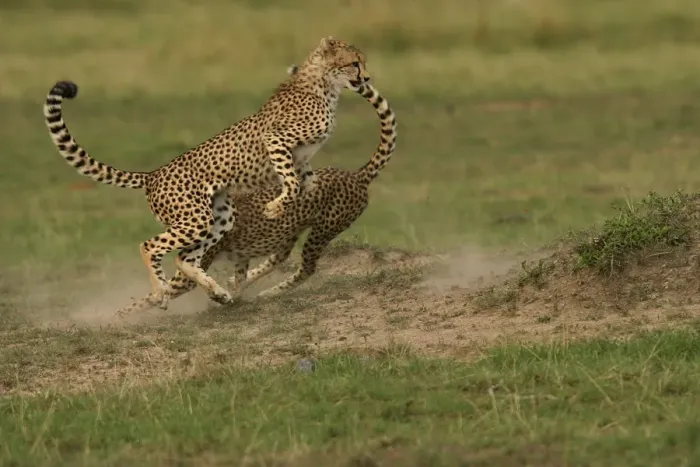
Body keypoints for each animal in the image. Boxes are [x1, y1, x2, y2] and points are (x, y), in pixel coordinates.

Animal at [43, 36, 372, 311]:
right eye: (355, 62)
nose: (367, 78)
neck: (323, 85)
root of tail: (153, 174)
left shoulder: (301, 162)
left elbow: (306, 184)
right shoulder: (276, 140)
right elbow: (290, 184)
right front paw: (275, 207)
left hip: (219, 218)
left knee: (184, 257)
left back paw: (218, 292)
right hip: (195, 219)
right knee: (150, 246)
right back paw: (162, 292)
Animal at [116, 75, 396, 315]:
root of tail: (356, 174)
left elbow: (153, 296)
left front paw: (120, 314)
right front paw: (232, 292)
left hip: (323, 230)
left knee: (307, 267)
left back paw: (270, 292)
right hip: (292, 232)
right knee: (279, 257)